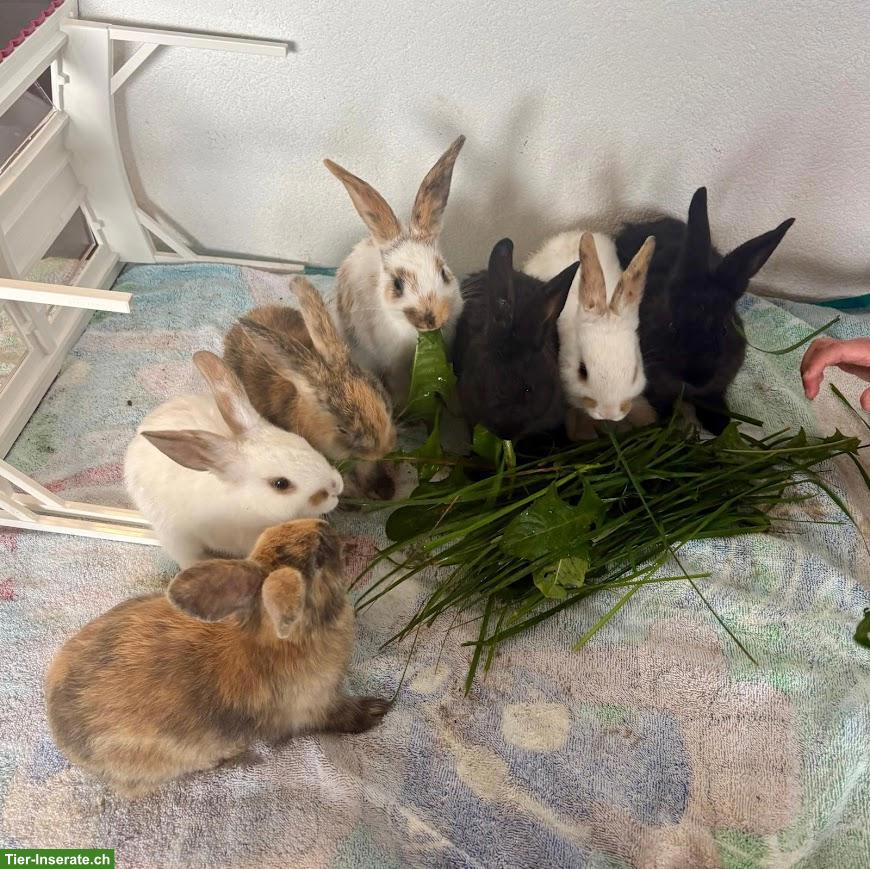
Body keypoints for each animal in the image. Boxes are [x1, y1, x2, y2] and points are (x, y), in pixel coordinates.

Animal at [45, 518, 390, 797]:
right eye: (318, 558)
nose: (325, 526)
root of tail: (62, 736)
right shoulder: (314, 706)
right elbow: (340, 716)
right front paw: (377, 710)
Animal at [615, 187, 795, 434]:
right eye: (671, 324)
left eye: (724, 329)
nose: (697, 378)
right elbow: (662, 403)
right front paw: (669, 425)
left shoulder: (716, 386)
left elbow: (712, 400)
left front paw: (720, 425)